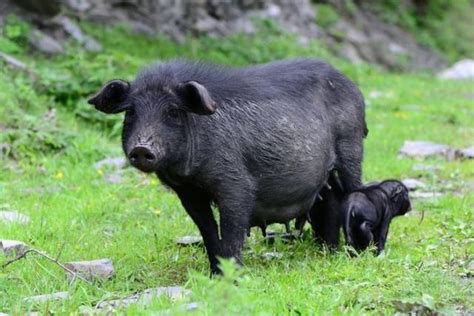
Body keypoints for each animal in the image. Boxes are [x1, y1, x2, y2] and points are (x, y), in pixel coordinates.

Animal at [90, 58, 370, 274]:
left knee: (353, 191)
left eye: (172, 112)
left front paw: (233, 277)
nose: (141, 148)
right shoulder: (188, 193)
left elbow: (232, 229)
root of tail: (353, 87)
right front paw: (215, 275)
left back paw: (353, 252)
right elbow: (207, 230)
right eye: (131, 112)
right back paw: (329, 251)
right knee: (332, 199)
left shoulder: (235, 183)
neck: (190, 173)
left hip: (351, 147)